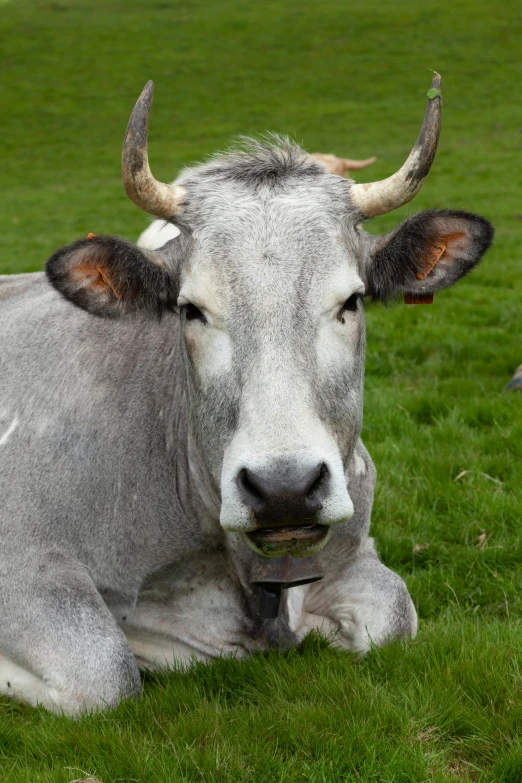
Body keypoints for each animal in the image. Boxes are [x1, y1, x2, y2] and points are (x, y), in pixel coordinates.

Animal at [0, 75, 492, 716]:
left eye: (352, 300)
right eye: (190, 309)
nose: (284, 488)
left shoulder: (355, 550)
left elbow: (396, 615)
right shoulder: (25, 561)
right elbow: (105, 675)